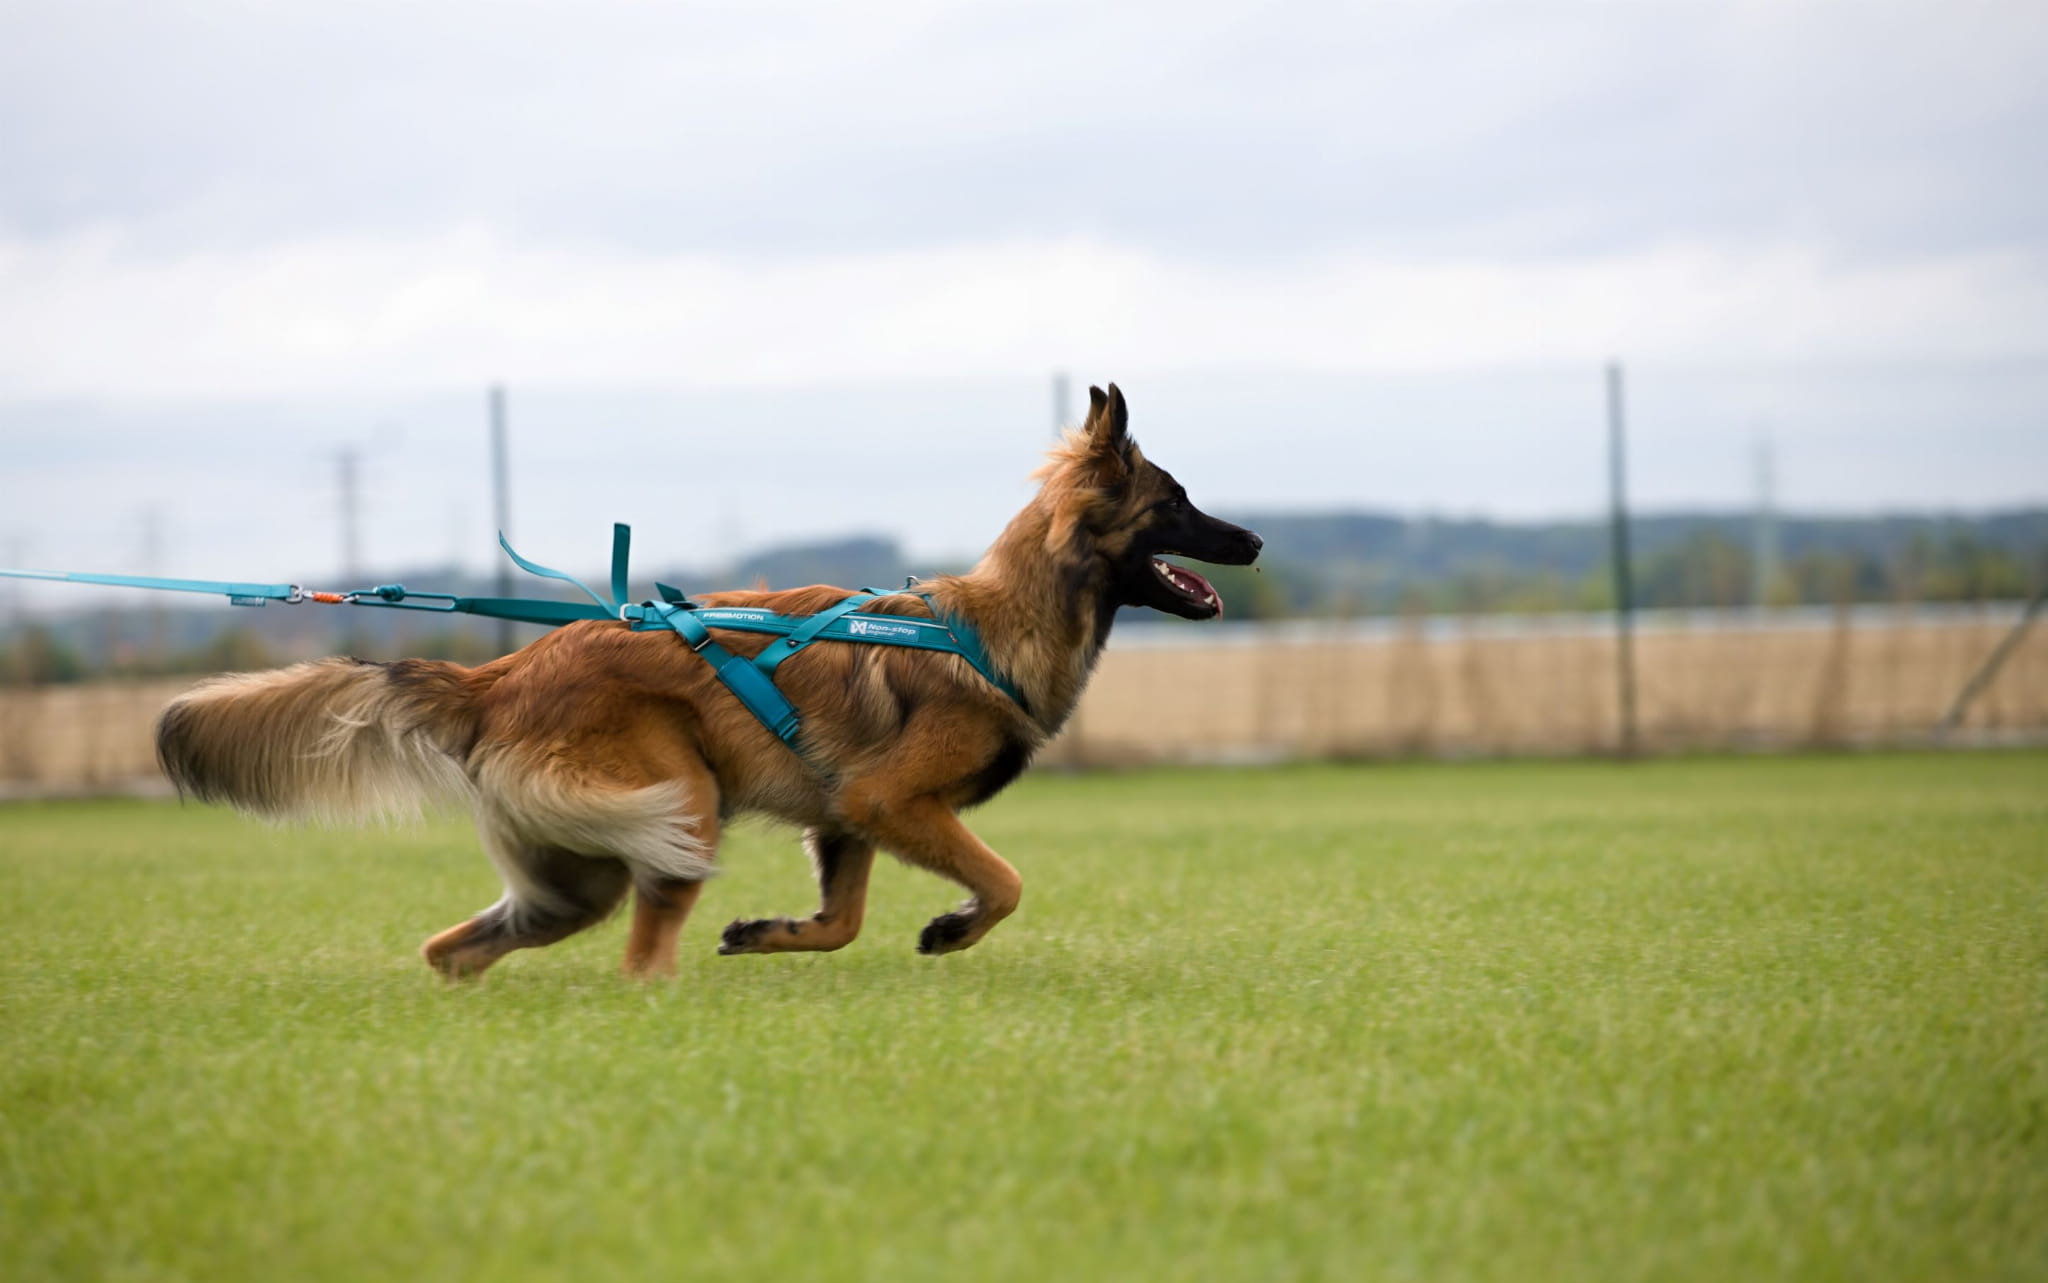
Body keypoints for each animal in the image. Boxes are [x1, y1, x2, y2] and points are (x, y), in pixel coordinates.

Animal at [155, 384, 1262, 978]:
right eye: (1176, 501)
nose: (1253, 540)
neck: (992, 623)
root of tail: (496, 677)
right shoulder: (890, 800)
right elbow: (1004, 879)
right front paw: (950, 927)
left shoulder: (848, 817)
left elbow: (841, 921)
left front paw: (773, 932)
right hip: (678, 804)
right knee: (640, 956)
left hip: (577, 876)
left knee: (456, 947)